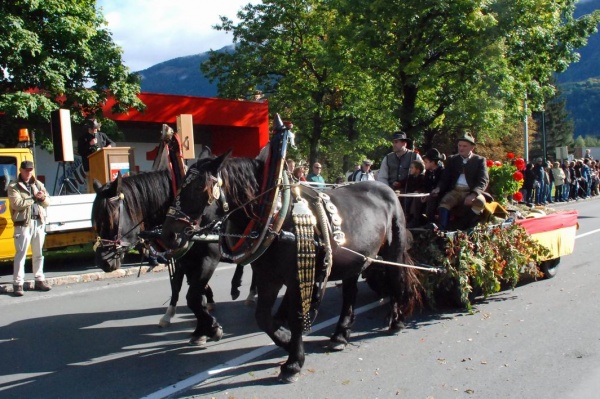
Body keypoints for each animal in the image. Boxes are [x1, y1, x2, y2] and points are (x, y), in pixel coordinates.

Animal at [92, 170, 224, 346]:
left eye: (111, 219)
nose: (103, 262)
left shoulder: (208, 258)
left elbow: (193, 291)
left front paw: (207, 326)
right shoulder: (184, 259)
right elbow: (180, 286)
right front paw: (198, 326)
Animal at [161, 152, 422, 382]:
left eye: (199, 187)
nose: (169, 232)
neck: (275, 216)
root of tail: (387, 189)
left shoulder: (297, 279)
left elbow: (297, 316)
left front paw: (294, 362)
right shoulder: (268, 277)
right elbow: (262, 317)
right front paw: (285, 339)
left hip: (393, 251)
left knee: (396, 278)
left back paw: (397, 319)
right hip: (355, 259)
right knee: (350, 293)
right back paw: (340, 335)